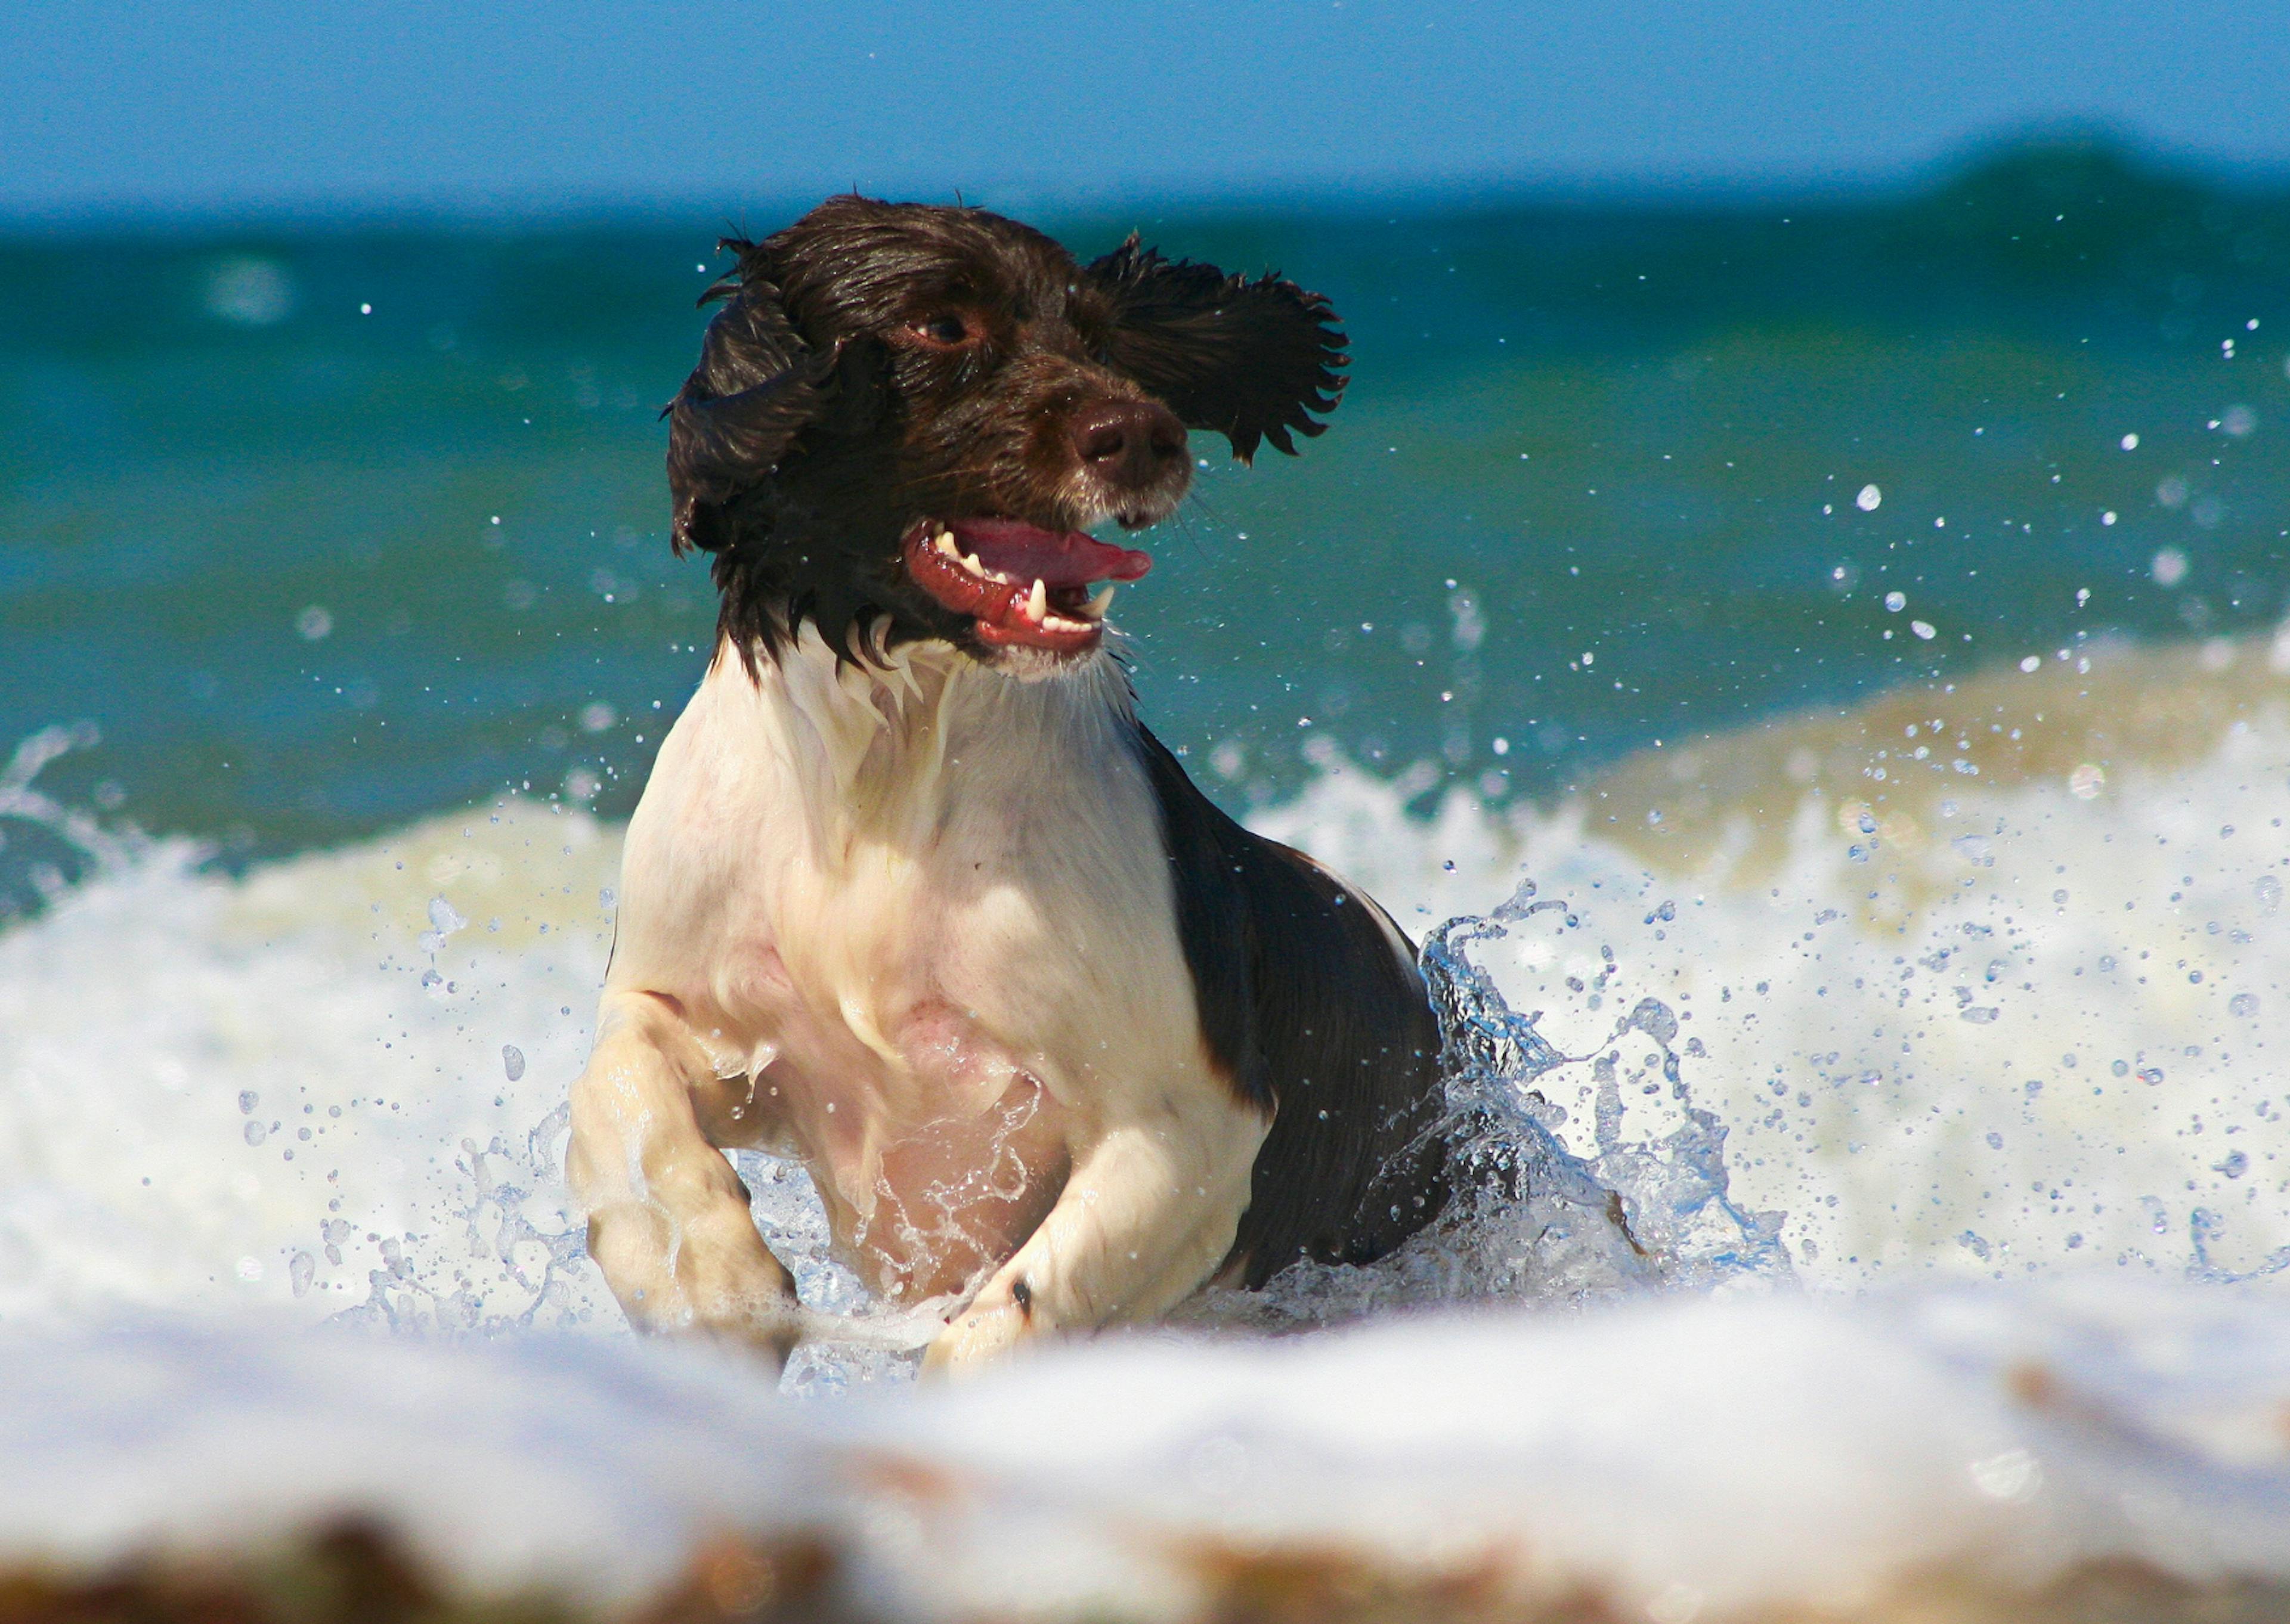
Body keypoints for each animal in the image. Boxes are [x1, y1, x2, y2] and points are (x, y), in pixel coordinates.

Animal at [577, 196, 1447, 1374]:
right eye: (942, 326)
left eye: (1100, 333)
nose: (1146, 435)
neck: (885, 777)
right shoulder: (689, 1002)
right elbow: (616, 1088)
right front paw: (710, 1274)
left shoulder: (1184, 1121)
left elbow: (1002, 1321)